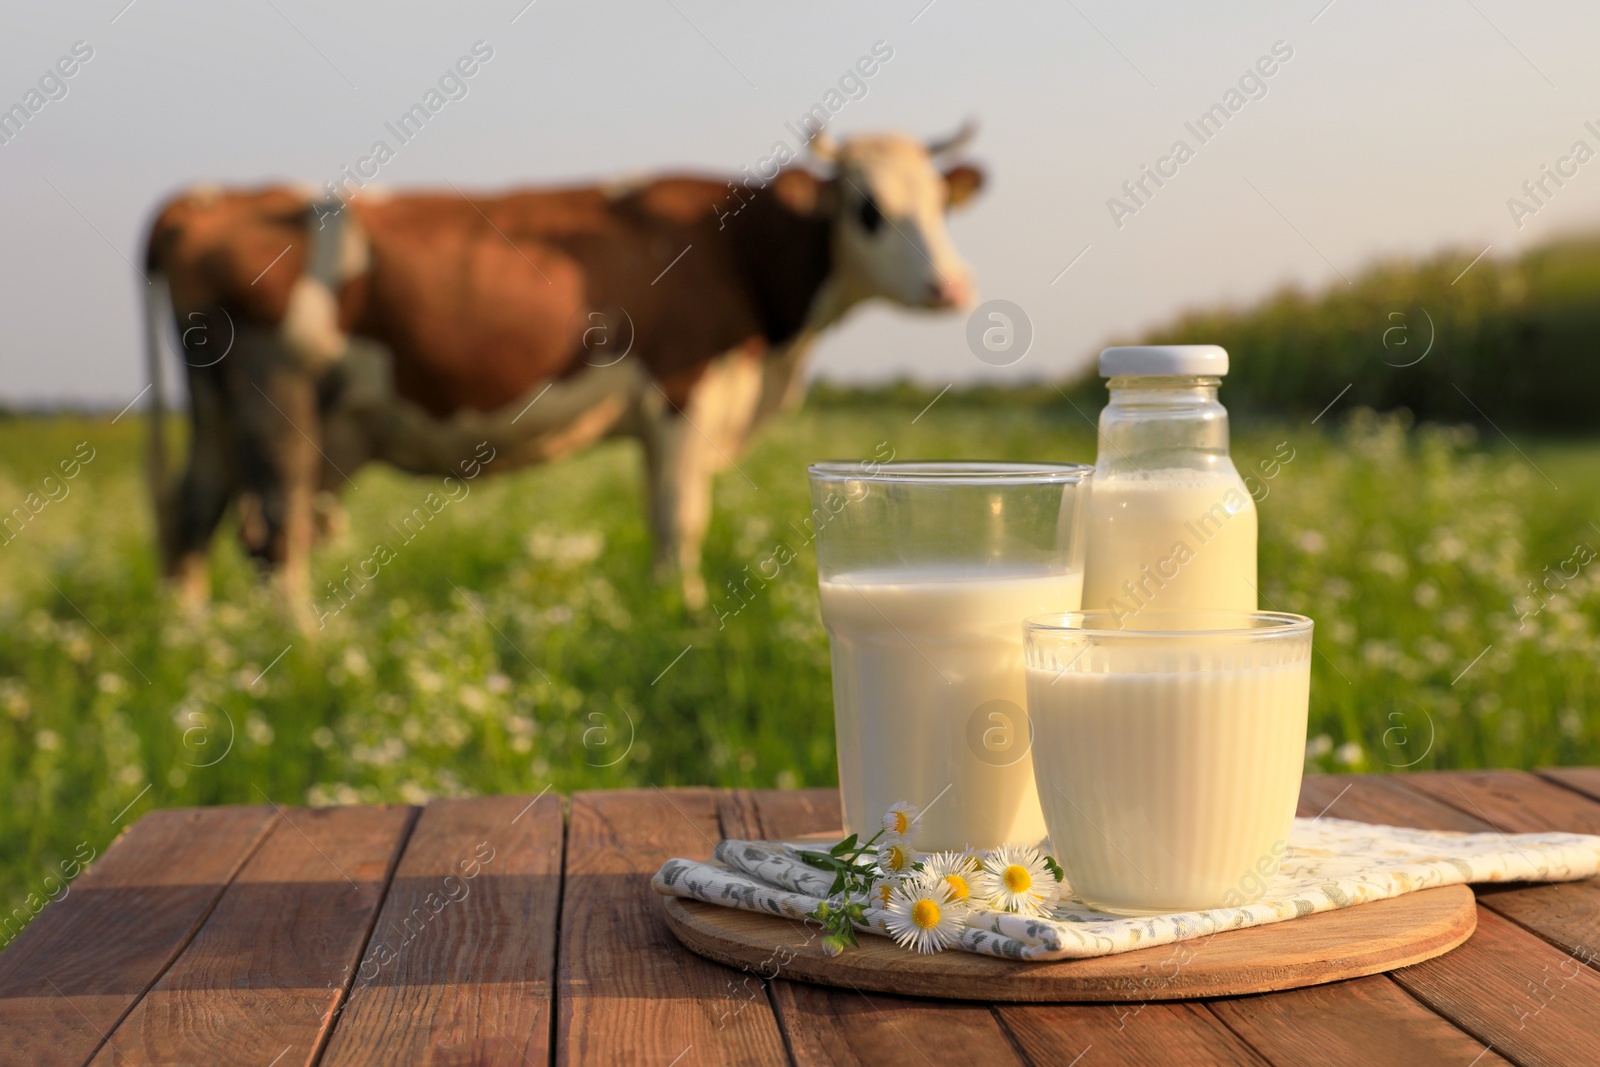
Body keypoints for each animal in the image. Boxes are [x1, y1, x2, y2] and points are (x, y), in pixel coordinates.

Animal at [144, 127, 979, 617]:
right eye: (870, 208)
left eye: (941, 204)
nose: (952, 287)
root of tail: (212, 199)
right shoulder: (684, 395)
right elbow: (681, 520)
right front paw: (688, 616)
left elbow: (661, 517)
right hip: (275, 397)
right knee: (272, 530)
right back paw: (306, 650)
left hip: (218, 410)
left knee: (191, 515)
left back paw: (191, 646)